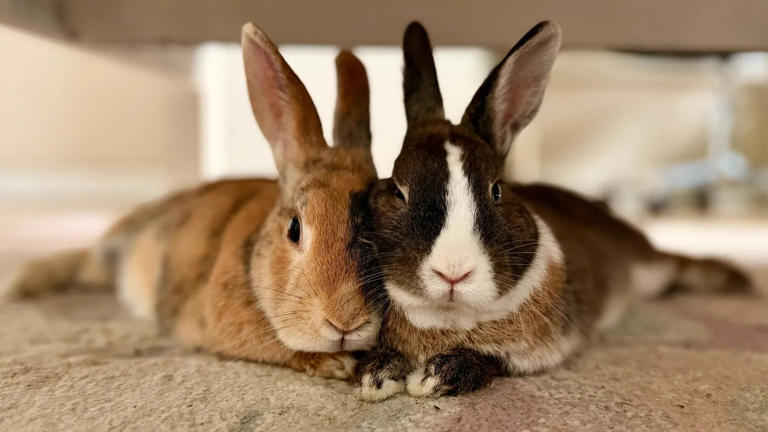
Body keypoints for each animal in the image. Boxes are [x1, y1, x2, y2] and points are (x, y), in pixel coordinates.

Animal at [354, 21, 753, 400]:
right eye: (398, 189)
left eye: (497, 190)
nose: (453, 273)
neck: (450, 317)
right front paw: (375, 377)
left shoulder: (536, 351)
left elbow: (490, 360)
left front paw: (434, 377)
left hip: (650, 268)